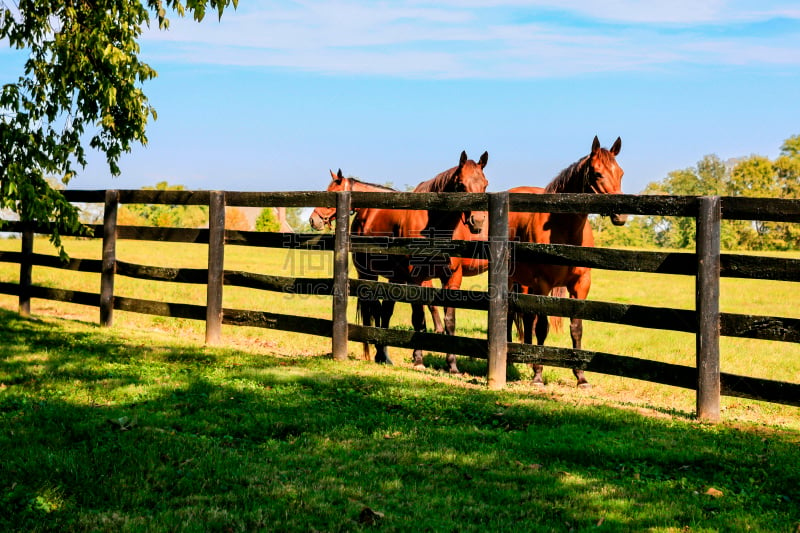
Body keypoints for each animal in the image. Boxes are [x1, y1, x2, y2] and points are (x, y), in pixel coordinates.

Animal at [354, 151, 490, 370]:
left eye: (485, 184)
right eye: (461, 185)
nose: (477, 222)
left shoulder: (451, 278)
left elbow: (449, 320)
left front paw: (452, 365)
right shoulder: (418, 279)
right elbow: (419, 319)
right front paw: (418, 360)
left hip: (395, 277)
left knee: (385, 312)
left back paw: (384, 355)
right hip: (368, 274)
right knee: (373, 309)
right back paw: (380, 353)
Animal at [510, 136, 628, 386]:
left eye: (621, 172)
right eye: (597, 173)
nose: (621, 215)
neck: (564, 228)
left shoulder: (580, 285)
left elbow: (576, 328)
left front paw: (581, 377)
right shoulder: (543, 285)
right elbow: (542, 327)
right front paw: (538, 375)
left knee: (527, 317)